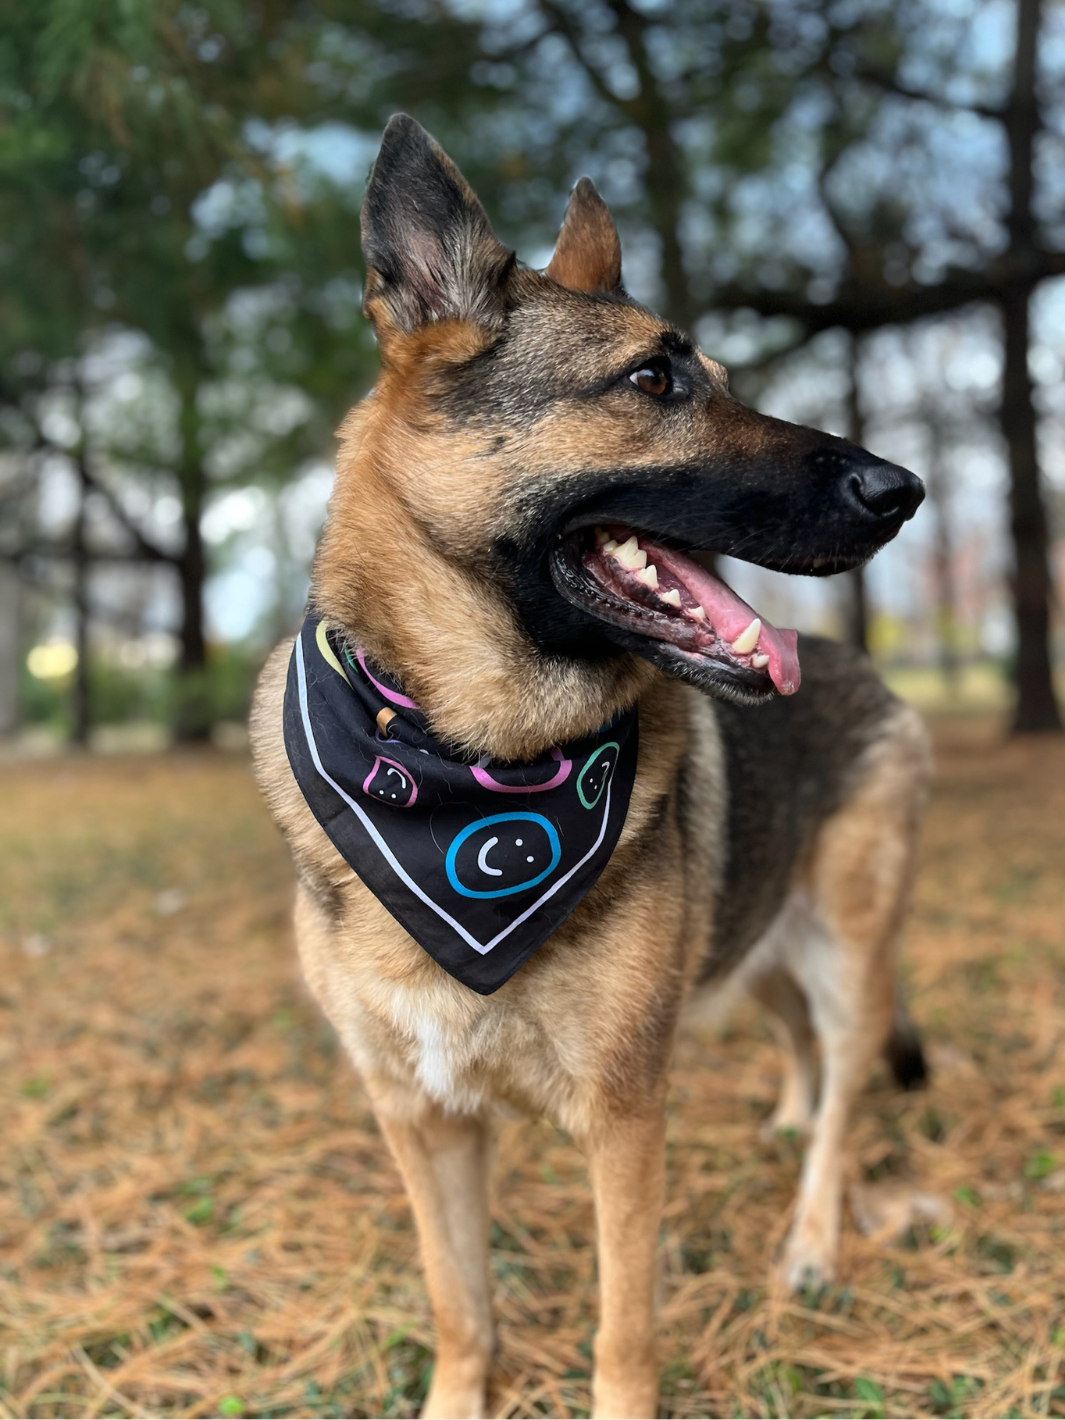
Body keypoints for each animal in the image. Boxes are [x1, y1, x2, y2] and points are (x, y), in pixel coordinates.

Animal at [252, 116, 931, 1414]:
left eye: (722, 377)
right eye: (654, 382)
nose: (905, 488)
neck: (464, 762)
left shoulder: (624, 1118)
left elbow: (624, 1324)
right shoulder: (421, 1119)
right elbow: (459, 1303)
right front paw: (456, 1397)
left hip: (847, 956)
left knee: (846, 1091)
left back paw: (813, 1237)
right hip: (756, 948)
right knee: (798, 1046)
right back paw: (786, 1118)